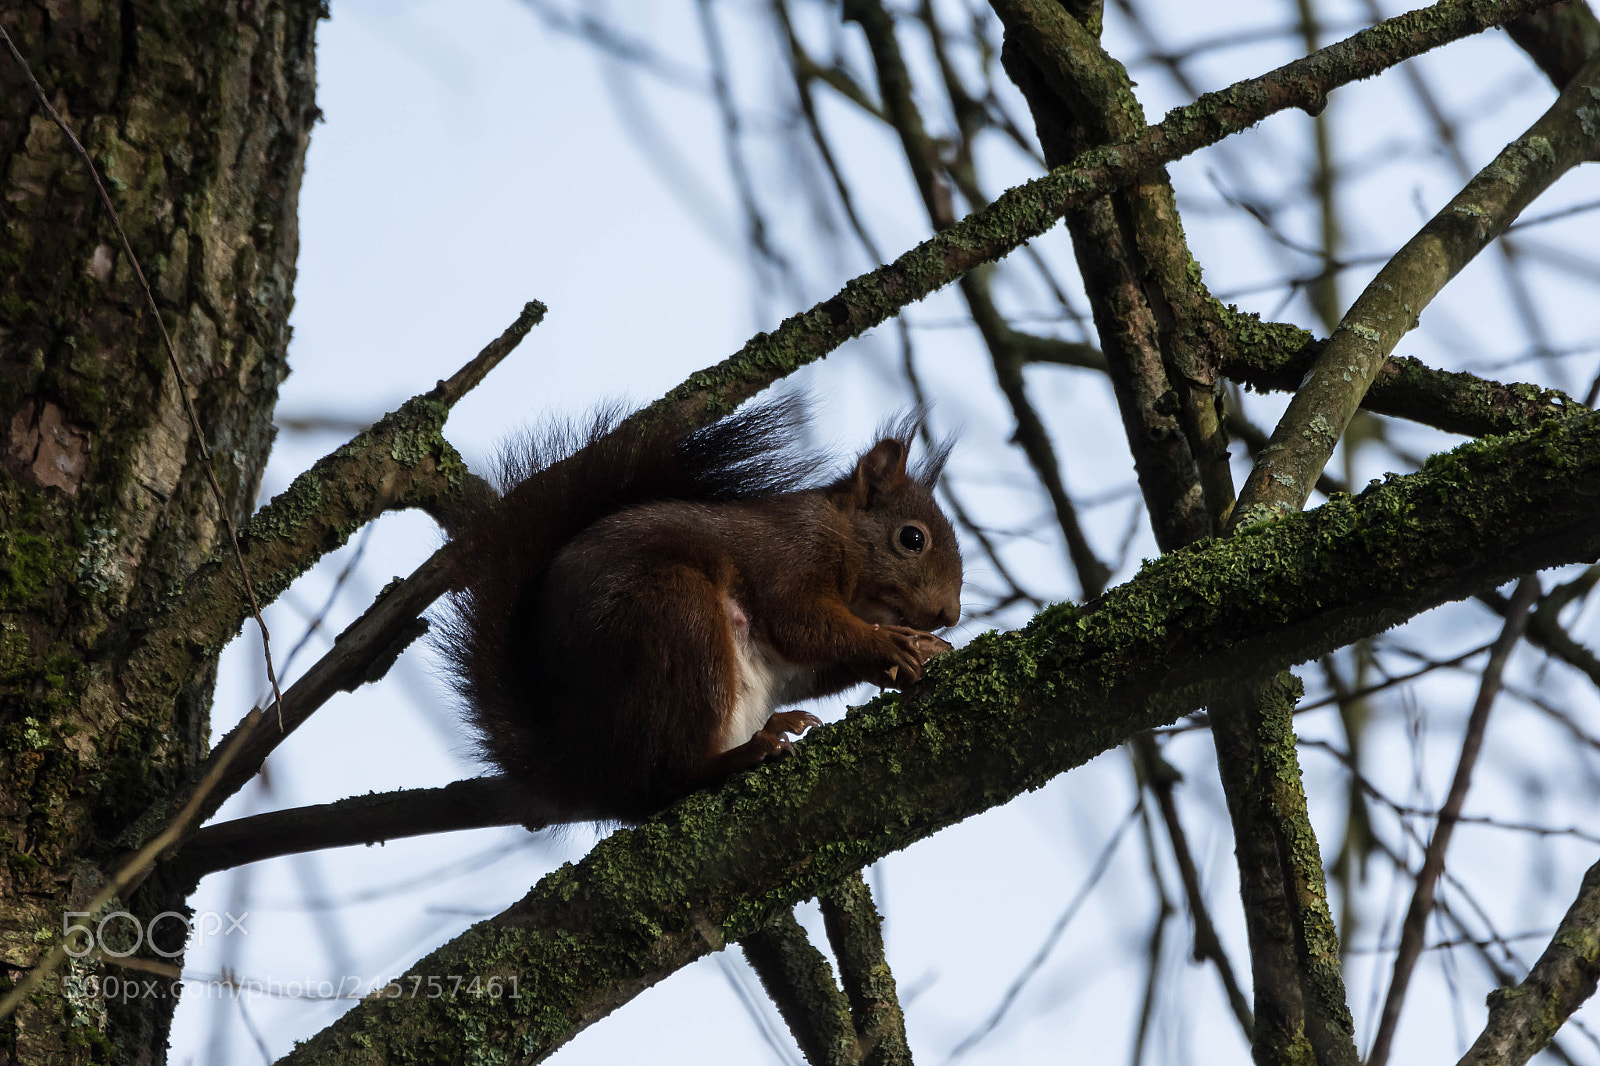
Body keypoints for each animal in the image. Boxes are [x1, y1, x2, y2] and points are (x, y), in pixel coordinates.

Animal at [436, 398, 963, 823]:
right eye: (912, 538)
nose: (951, 615)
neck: (839, 534)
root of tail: (578, 764)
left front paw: (921, 648)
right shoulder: (790, 556)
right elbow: (800, 624)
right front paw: (887, 642)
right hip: (676, 616)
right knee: (665, 776)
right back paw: (739, 755)